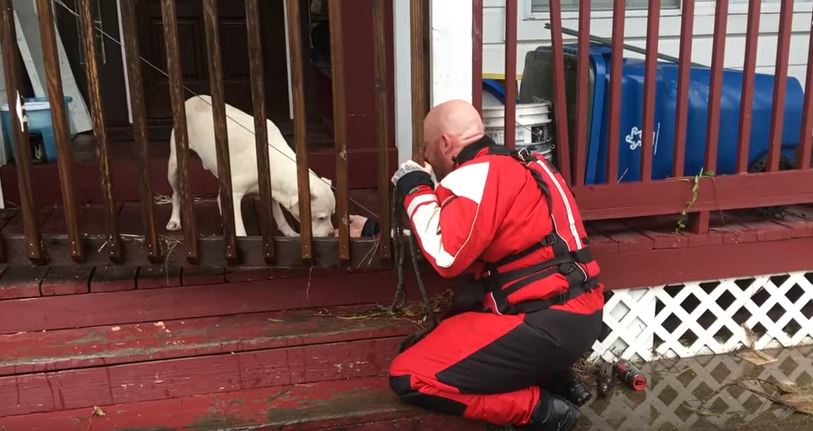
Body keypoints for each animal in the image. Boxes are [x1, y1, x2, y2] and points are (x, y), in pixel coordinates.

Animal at [167, 95, 334, 238]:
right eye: (321, 218)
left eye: (332, 215)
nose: (332, 234)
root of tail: (190, 99)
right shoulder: (233, 195)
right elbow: (239, 228)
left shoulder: (271, 191)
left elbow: (280, 217)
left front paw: (290, 233)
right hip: (174, 166)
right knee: (176, 194)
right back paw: (174, 220)